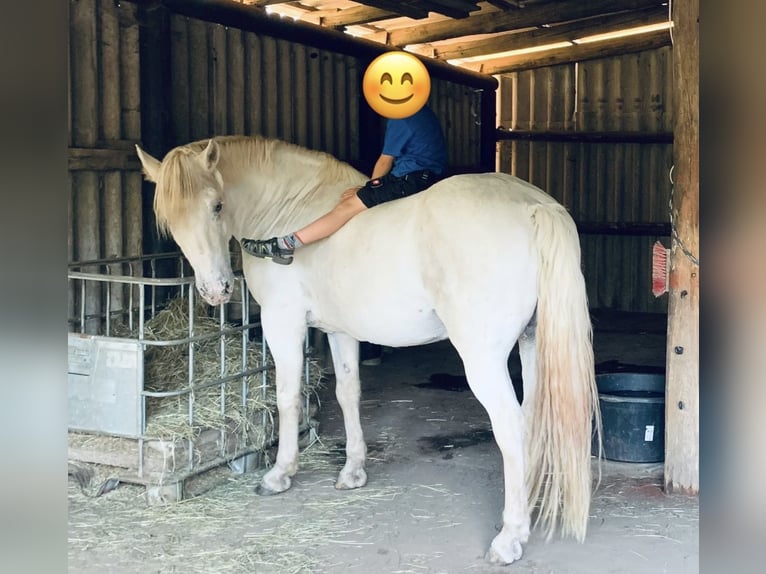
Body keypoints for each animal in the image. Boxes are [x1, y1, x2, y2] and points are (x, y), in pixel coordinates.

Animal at [136, 135, 600, 565]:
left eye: (216, 206)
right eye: (170, 221)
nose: (216, 291)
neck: (290, 207)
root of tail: (534, 206)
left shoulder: (282, 322)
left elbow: (287, 397)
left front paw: (279, 474)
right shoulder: (341, 331)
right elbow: (348, 393)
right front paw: (353, 471)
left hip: (483, 357)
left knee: (511, 426)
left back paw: (509, 537)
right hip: (531, 342)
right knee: (534, 416)